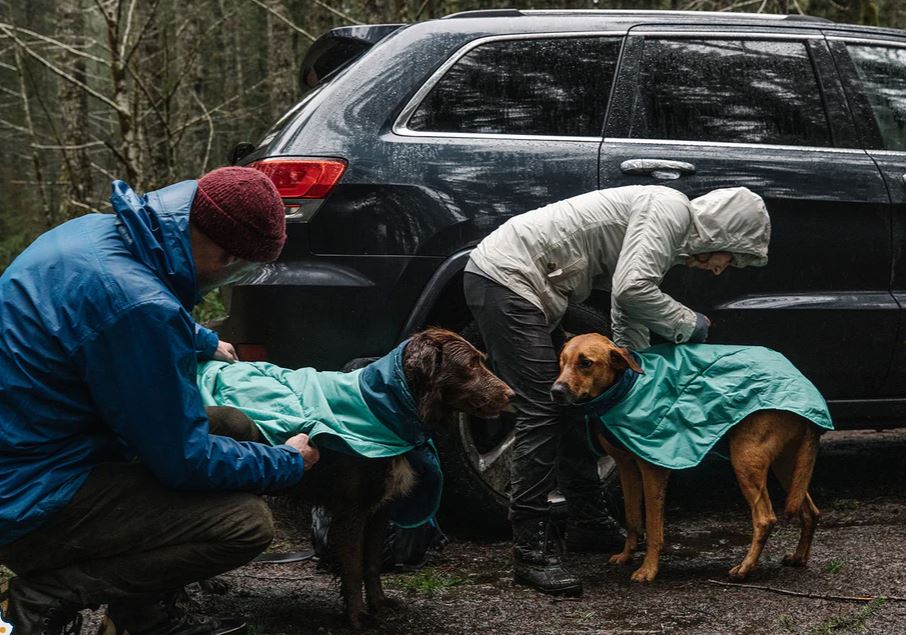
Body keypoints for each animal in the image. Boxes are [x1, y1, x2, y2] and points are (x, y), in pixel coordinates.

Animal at [207, 330, 516, 628]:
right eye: (471, 364)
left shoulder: (381, 509)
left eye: (482, 360)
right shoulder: (351, 510)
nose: (512, 395)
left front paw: (379, 604)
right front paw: (357, 617)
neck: (388, 406)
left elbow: (372, 563)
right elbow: (354, 567)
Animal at [548, 336, 828, 584]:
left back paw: (745, 568)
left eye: (586, 363)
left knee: (765, 518)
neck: (627, 387)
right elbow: (633, 518)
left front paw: (648, 570)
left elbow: (653, 527)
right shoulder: (627, 468)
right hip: (788, 466)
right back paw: (799, 557)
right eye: (561, 361)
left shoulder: (652, 470)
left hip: (746, 460)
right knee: (810, 511)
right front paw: (627, 556)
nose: (555, 391)